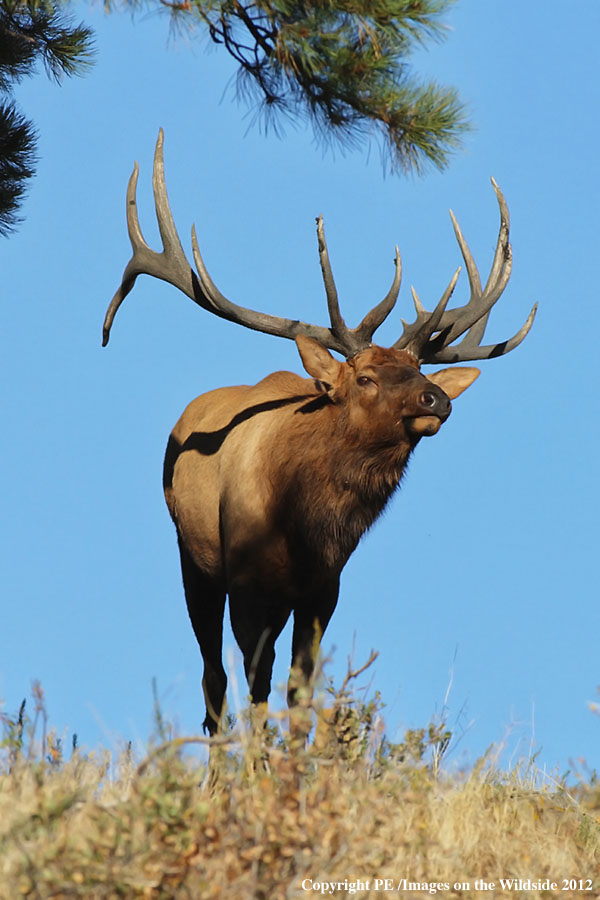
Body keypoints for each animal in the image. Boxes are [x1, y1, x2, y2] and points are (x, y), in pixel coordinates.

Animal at [104, 130, 540, 736]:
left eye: (419, 371)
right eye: (365, 377)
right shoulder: (248, 583)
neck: (301, 524)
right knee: (214, 681)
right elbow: (256, 687)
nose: (439, 398)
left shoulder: (323, 589)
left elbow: (299, 692)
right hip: (193, 559)